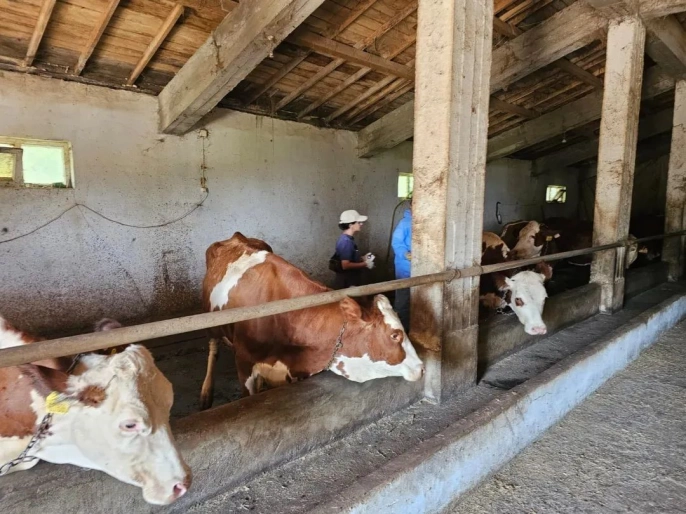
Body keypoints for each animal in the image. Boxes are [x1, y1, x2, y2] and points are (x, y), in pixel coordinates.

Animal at [199, 232, 424, 409]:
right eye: (395, 335)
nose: (421, 368)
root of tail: (237, 237)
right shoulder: (244, 365)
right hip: (211, 324)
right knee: (212, 349)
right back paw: (206, 394)